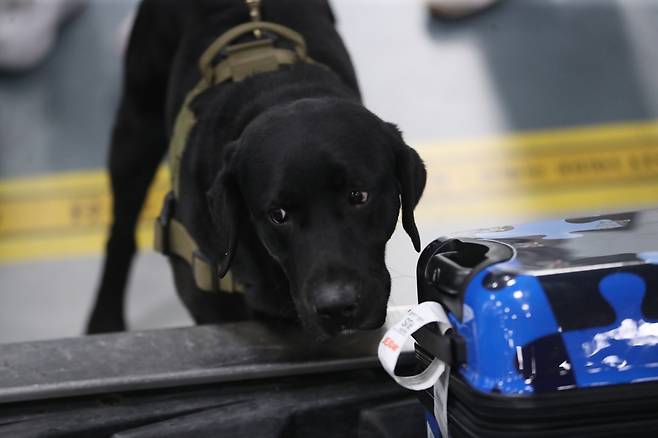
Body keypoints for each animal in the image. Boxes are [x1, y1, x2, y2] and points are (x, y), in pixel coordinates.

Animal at [87, 0, 426, 338]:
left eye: (359, 196)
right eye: (278, 215)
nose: (335, 306)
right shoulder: (201, 291)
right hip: (136, 127)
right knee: (120, 232)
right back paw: (104, 319)